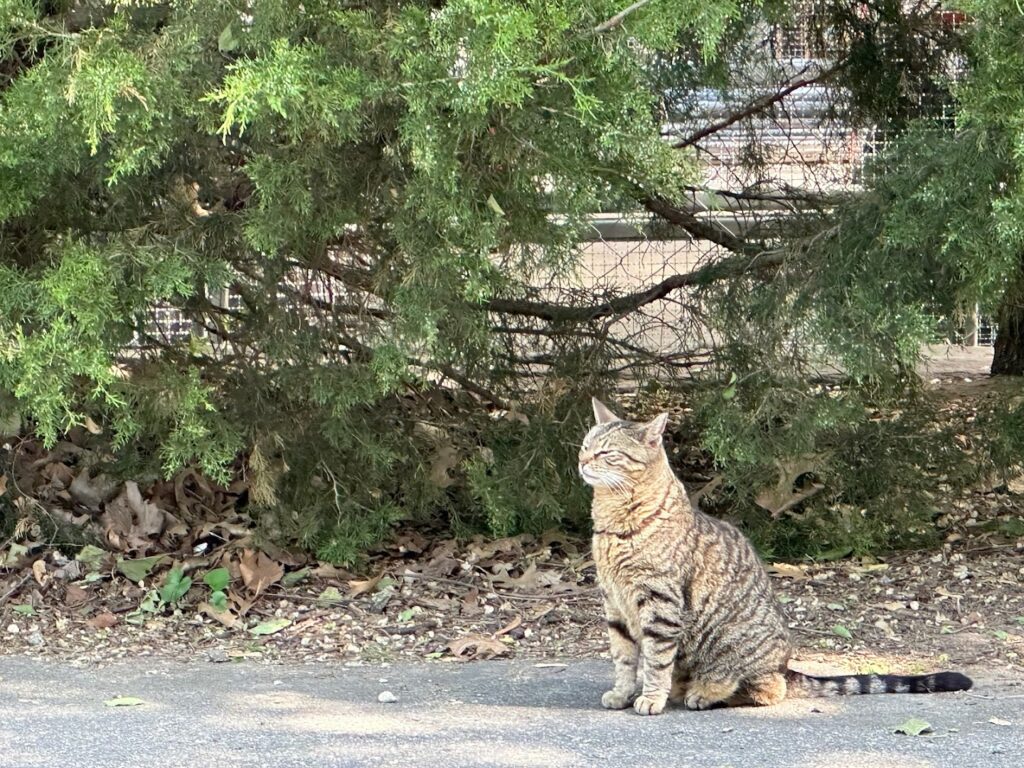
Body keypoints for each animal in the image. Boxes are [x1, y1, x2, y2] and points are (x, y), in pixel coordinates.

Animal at [581, 399, 970, 720]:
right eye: (586, 446)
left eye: (608, 453)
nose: (583, 462)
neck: (613, 521)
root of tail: (785, 665)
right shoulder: (613, 603)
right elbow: (624, 657)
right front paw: (622, 693)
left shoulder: (660, 603)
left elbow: (656, 660)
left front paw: (651, 697)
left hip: (735, 646)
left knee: (768, 688)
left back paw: (707, 693)